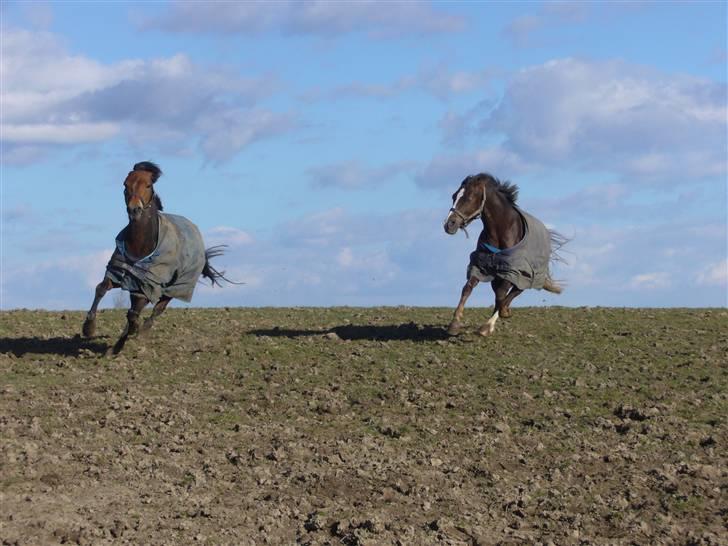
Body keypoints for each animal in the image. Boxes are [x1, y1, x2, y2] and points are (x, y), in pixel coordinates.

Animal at [82, 161, 233, 354]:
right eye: (125, 184)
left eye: (148, 185)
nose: (134, 209)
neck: (141, 245)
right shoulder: (119, 273)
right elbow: (100, 289)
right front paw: (88, 327)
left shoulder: (148, 286)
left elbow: (133, 314)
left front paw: (131, 333)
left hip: (174, 289)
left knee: (156, 310)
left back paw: (135, 335)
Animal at [443, 173, 566, 337]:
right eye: (454, 196)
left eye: (469, 197)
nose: (449, 224)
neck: (501, 230)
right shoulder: (481, 265)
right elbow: (468, 287)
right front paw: (454, 324)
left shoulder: (512, 270)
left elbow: (502, 295)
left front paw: (490, 323)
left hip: (528, 275)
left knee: (515, 290)